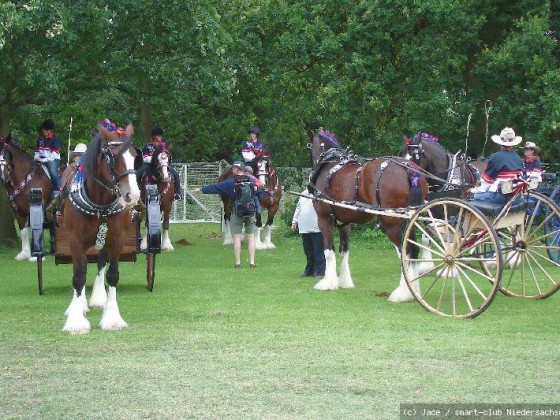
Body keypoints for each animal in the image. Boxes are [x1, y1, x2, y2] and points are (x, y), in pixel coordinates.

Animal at [60, 124, 140, 334]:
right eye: (113, 157)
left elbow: (112, 275)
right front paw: (76, 321)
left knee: (101, 262)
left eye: (134, 155)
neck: (100, 203)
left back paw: (98, 298)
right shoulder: (75, 240)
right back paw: (78, 305)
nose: (133, 195)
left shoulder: (117, 239)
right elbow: (79, 276)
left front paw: (112, 318)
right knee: (81, 268)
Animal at [308, 129, 426, 302]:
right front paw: (344, 281)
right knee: (413, 250)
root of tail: (409, 170)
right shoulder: (345, 223)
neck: (330, 165)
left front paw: (328, 283)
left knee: (405, 251)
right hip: (411, 220)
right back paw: (414, 291)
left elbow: (328, 250)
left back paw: (402, 293)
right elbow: (344, 250)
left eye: (309, 147)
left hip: (391, 223)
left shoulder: (324, 218)